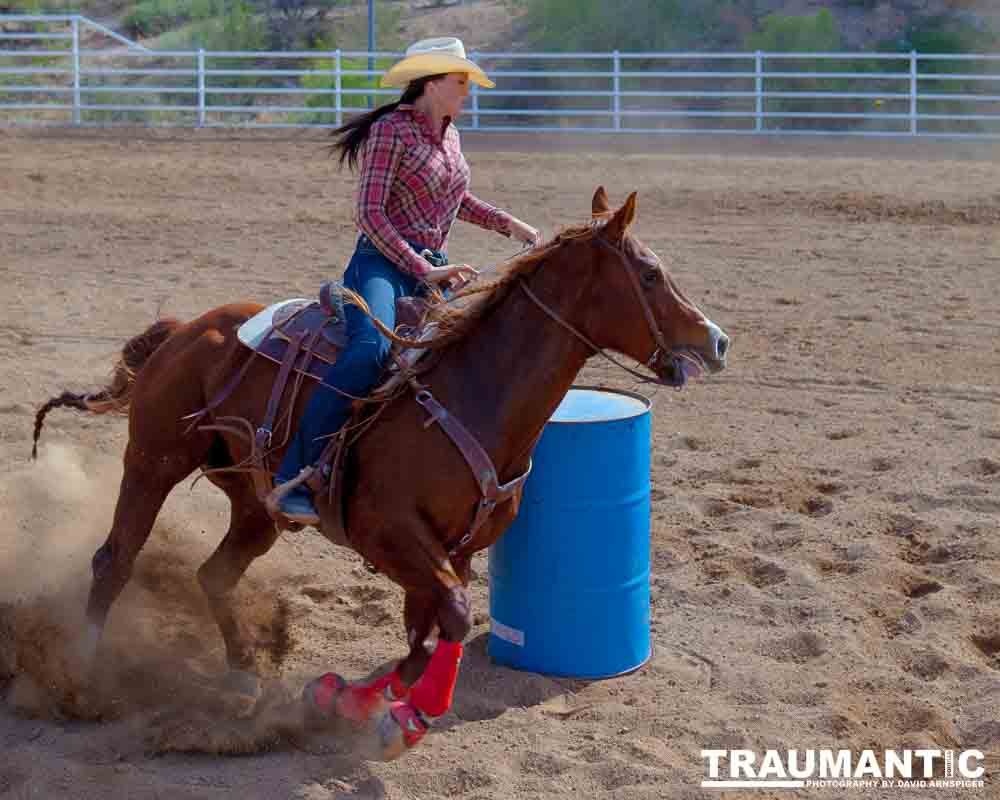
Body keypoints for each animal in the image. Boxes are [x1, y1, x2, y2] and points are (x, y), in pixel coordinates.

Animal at [35, 188, 732, 756]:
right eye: (650, 272)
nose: (717, 341)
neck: (474, 393)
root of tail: (187, 329)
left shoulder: (453, 551)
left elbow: (424, 637)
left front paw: (348, 699)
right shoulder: (387, 535)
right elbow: (453, 618)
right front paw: (403, 719)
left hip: (256, 506)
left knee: (214, 575)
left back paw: (241, 678)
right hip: (153, 461)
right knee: (115, 559)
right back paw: (82, 679)